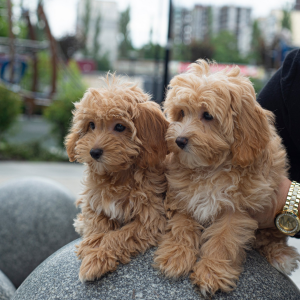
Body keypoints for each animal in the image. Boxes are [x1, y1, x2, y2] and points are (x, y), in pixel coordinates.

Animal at [65, 74, 168, 282]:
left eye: (120, 126)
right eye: (91, 125)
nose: (94, 152)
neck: (118, 176)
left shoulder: (152, 218)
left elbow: (119, 236)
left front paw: (96, 258)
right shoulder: (93, 202)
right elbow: (97, 225)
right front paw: (91, 246)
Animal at [155, 60, 300, 296]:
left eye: (207, 115)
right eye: (181, 113)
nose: (179, 140)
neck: (211, 169)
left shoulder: (238, 208)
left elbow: (224, 239)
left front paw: (211, 273)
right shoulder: (181, 197)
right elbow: (181, 226)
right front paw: (175, 255)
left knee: (272, 236)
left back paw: (281, 254)